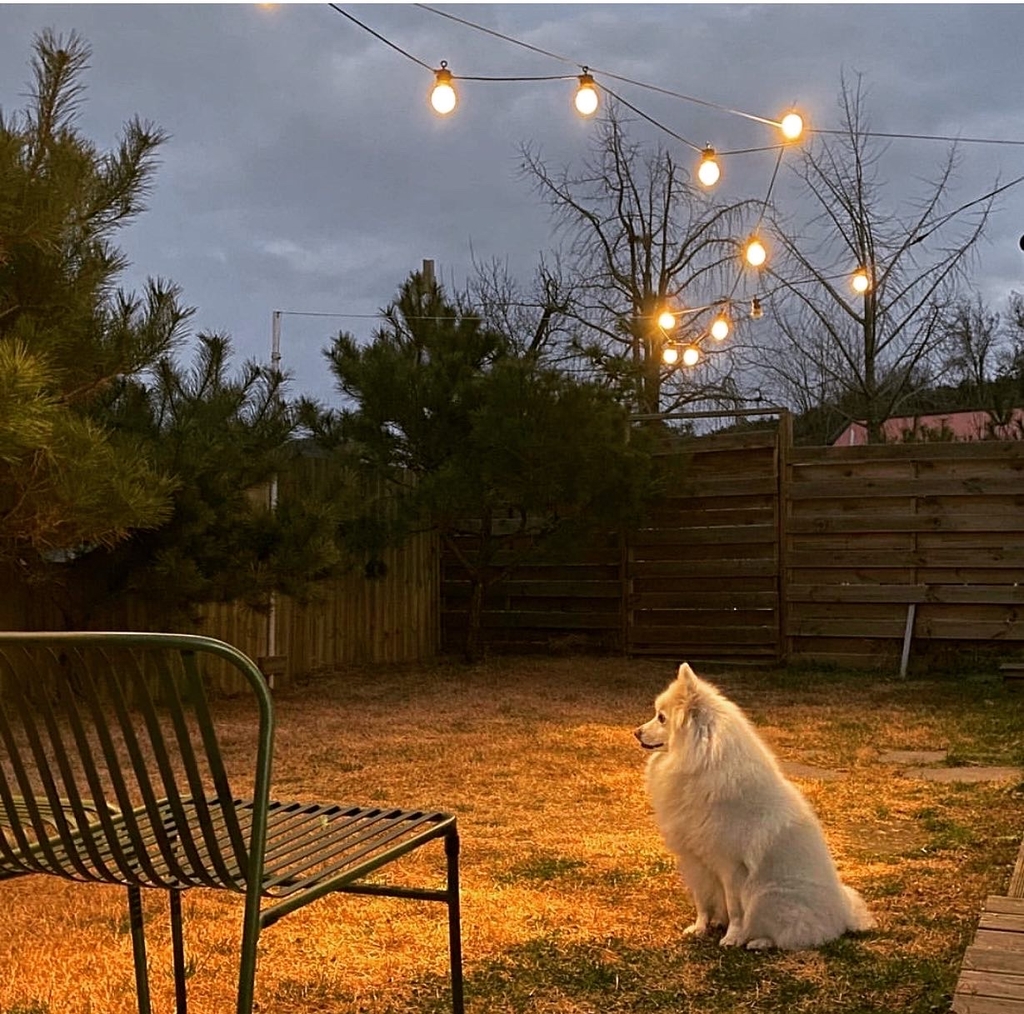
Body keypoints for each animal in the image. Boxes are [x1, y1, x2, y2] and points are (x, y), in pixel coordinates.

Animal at [634, 667, 876, 950]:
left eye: (661, 718)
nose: (636, 732)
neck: (701, 763)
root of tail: (842, 915)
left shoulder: (731, 867)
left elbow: (735, 909)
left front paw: (731, 938)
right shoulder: (696, 861)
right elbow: (702, 901)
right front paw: (700, 928)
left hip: (765, 895)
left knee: (791, 936)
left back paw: (758, 942)